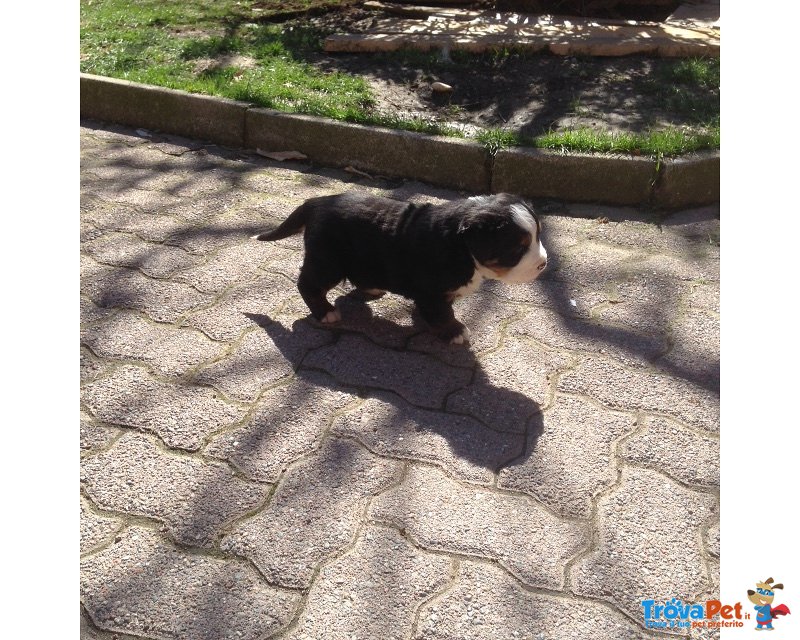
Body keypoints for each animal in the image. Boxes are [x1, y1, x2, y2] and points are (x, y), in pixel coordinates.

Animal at [253, 192, 548, 344]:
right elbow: (441, 313)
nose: (543, 263)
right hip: (327, 260)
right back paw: (325, 312)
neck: (460, 246)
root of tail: (318, 201)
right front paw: (454, 331)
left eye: (537, 237)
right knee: (308, 284)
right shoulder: (431, 291)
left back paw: (372, 288)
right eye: (517, 249)